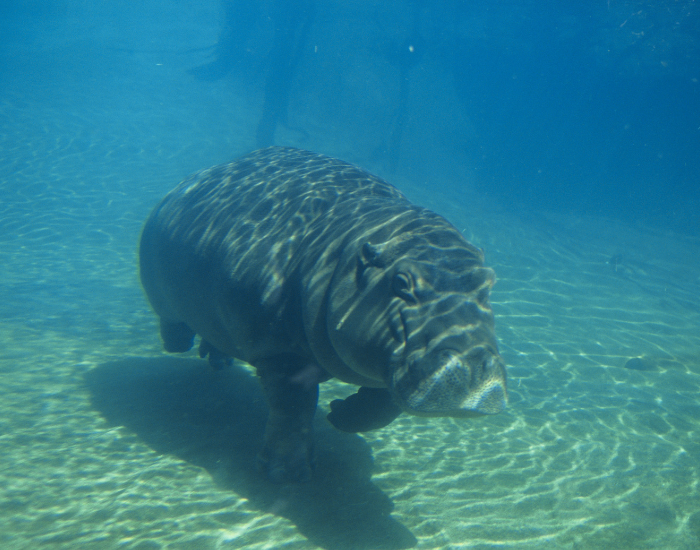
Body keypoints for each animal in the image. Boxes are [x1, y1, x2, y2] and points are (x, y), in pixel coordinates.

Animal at [139, 146, 507, 482]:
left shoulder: (390, 363)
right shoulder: (279, 353)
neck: (344, 249)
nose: (475, 369)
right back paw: (181, 342)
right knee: (173, 329)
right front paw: (286, 474)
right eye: (402, 282)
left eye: (489, 281)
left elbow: (384, 404)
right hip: (162, 292)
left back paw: (218, 359)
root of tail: (193, 178)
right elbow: (293, 409)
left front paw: (340, 415)